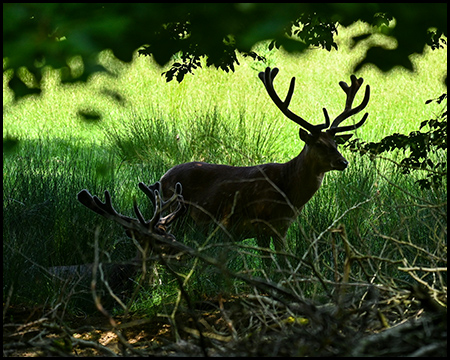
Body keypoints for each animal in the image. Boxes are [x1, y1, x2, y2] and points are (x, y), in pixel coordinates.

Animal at [143, 66, 370, 266]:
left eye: (336, 143)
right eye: (319, 144)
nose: (343, 162)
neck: (287, 192)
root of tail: (162, 177)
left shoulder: (282, 229)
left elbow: (283, 262)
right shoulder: (260, 224)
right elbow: (268, 264)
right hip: (174, 212)